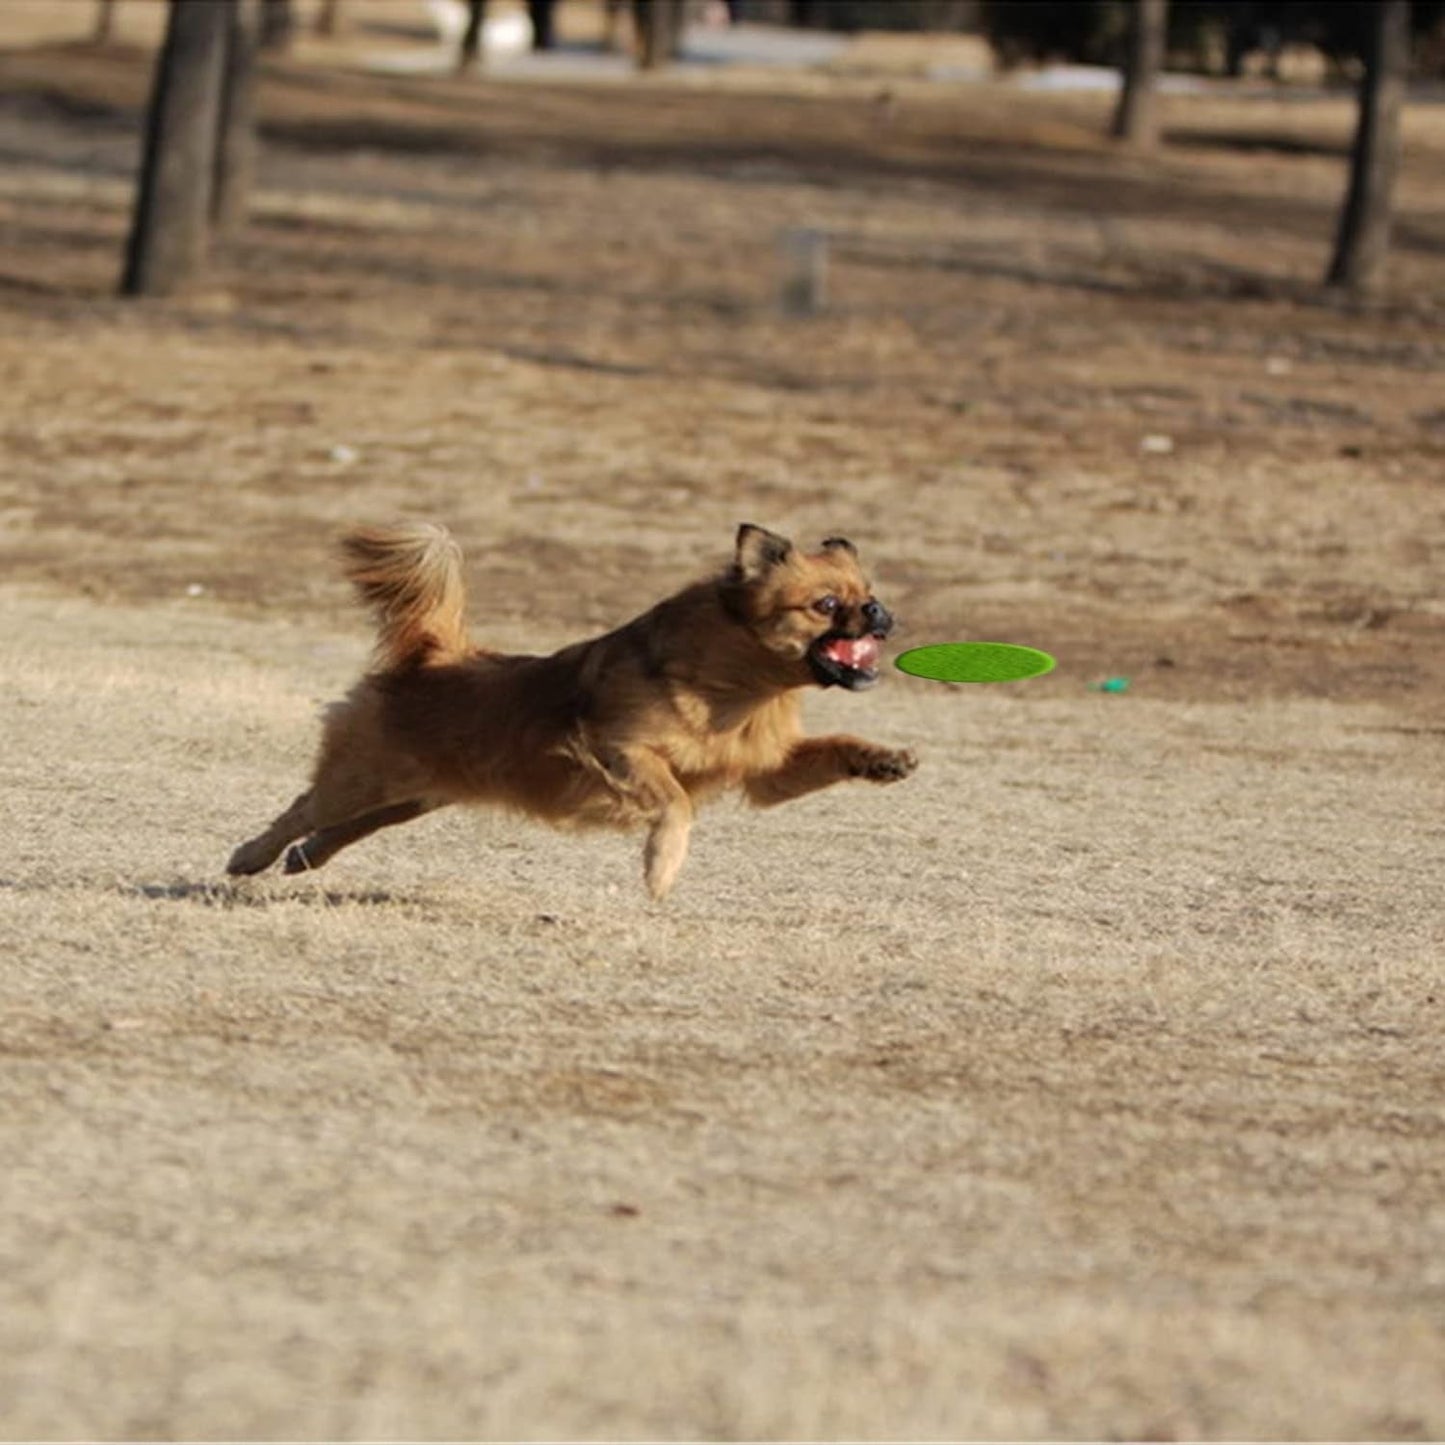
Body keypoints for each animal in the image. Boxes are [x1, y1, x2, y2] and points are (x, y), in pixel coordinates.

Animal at [231, 520, 919, 895]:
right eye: (826, 605)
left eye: (870, 594)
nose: (879, 612)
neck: (739, 690)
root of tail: (435, 655)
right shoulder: (619, 749)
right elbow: (675, 803)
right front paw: (660, 869)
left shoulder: (764, 771)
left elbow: (832, 748)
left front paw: (885, 759)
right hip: (366, 778)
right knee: (302, 809)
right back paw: (250, 856)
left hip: (410, 797)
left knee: (341, 828)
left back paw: (304, 860)